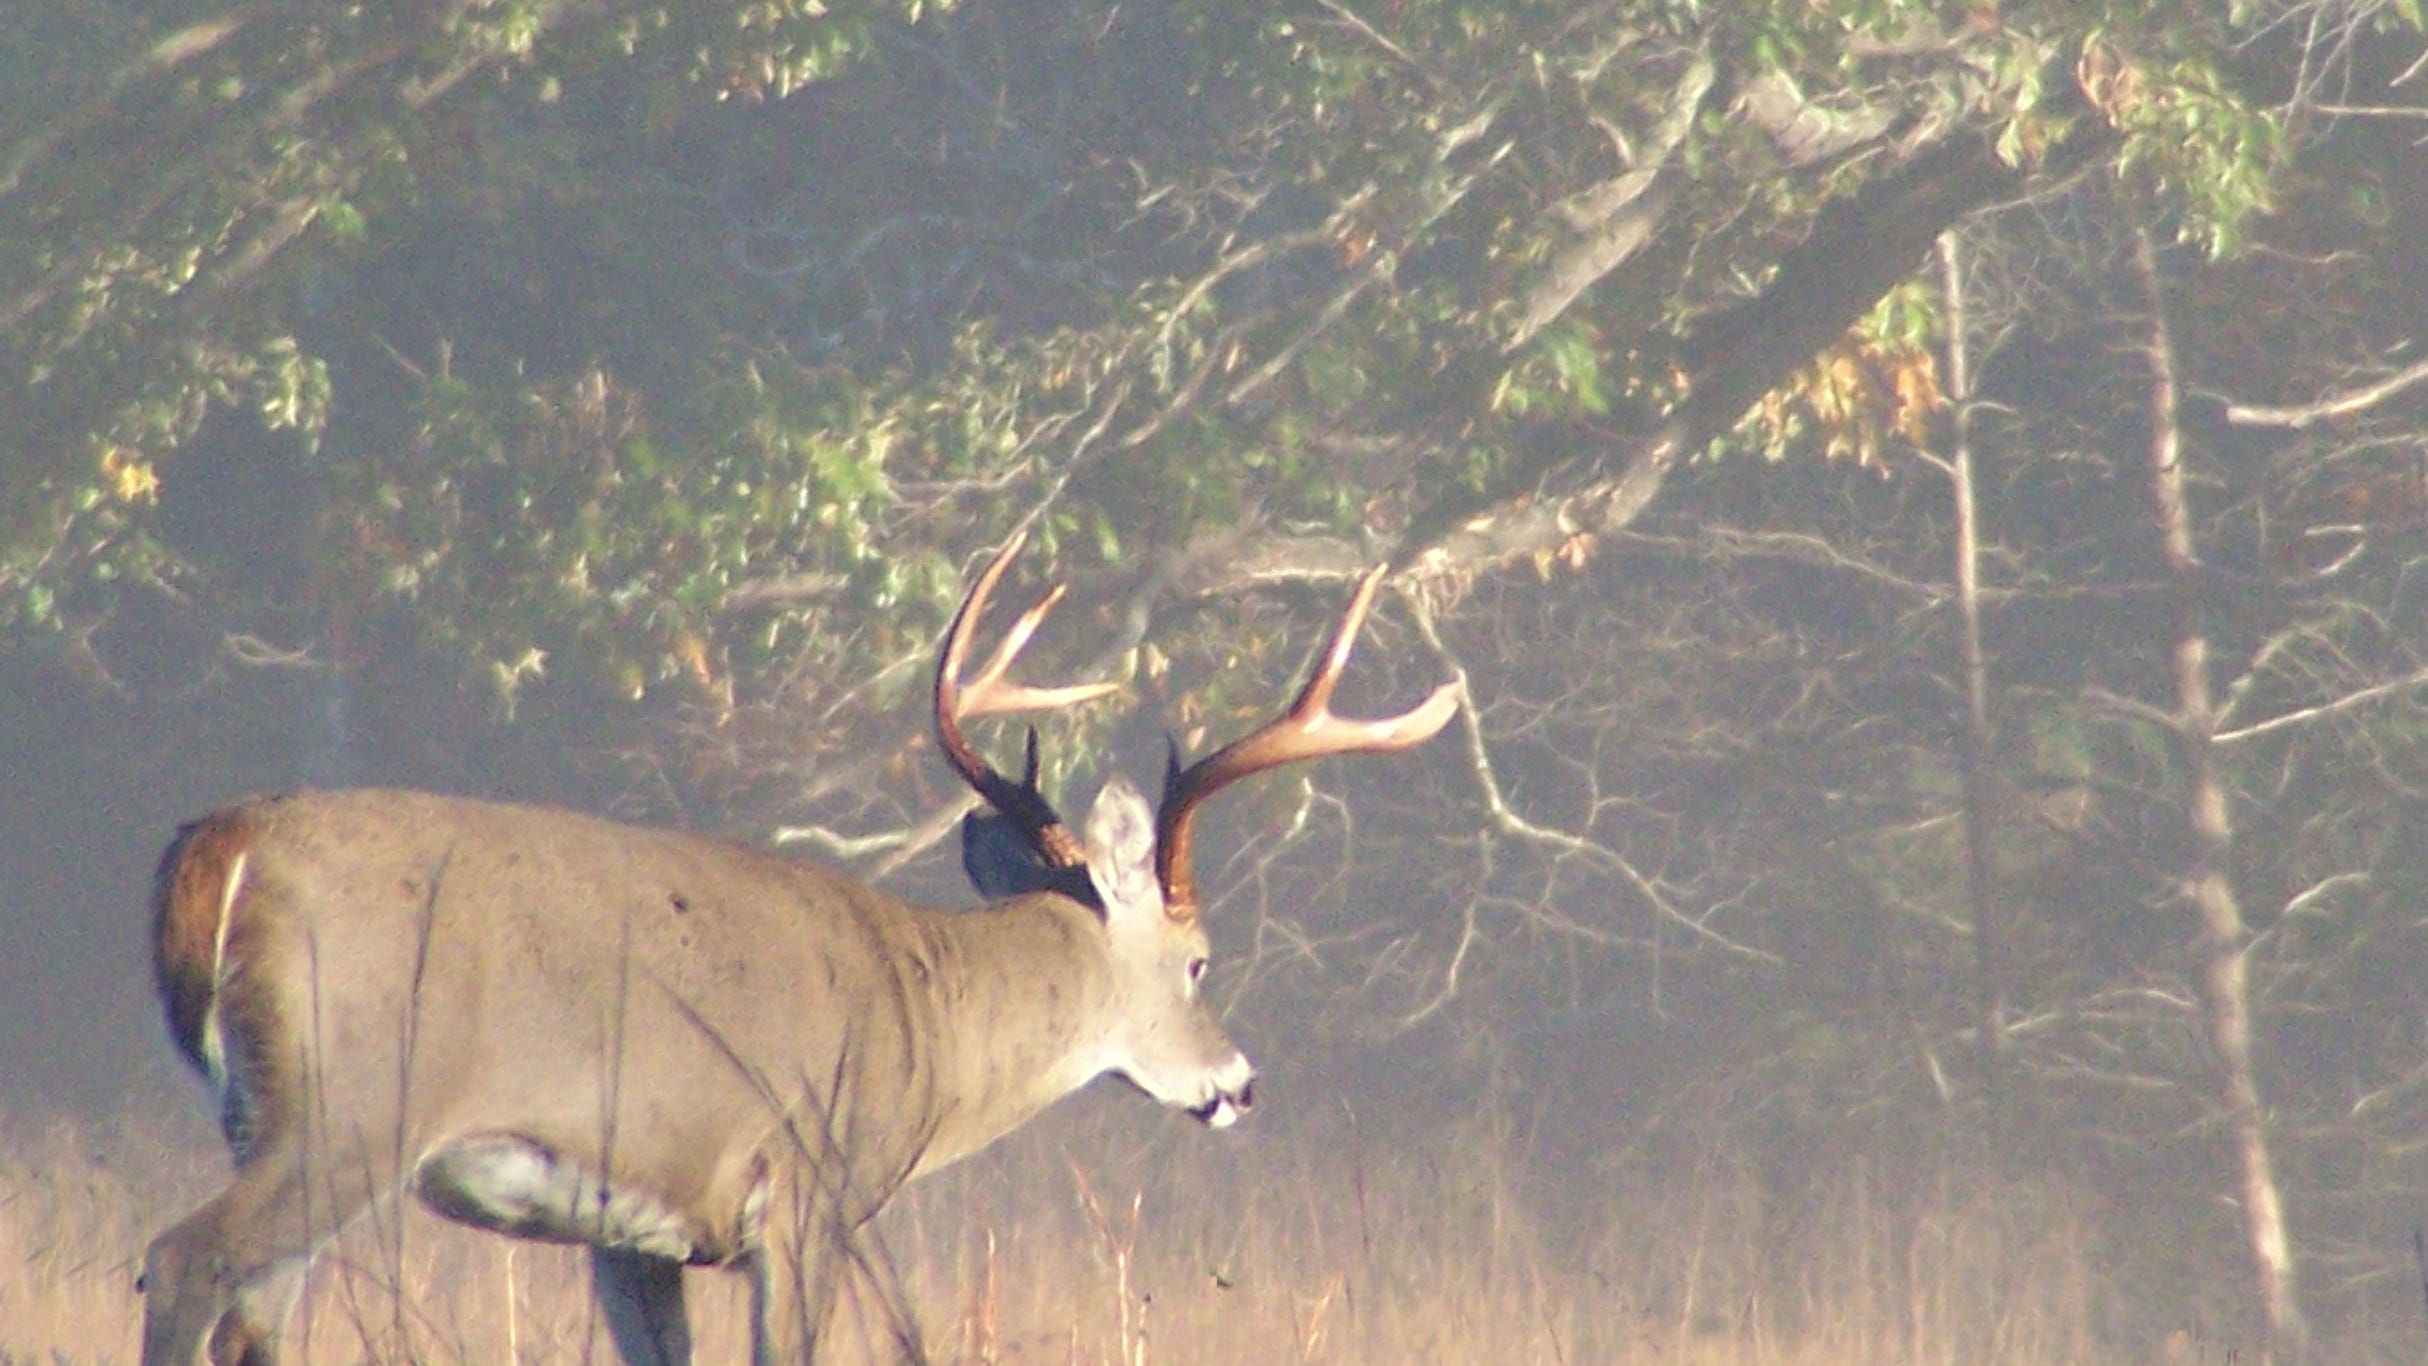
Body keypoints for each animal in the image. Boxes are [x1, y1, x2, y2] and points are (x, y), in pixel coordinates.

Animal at [137, 530, 1459, 1366]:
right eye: (1198, 959)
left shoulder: (631, 1231)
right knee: (183, 1257)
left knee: (257, 1311)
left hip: (272, 1119)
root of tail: (216, 854)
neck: (928, 1010)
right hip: (356, 1102)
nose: (1240, 1083)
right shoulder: (808, 1189)